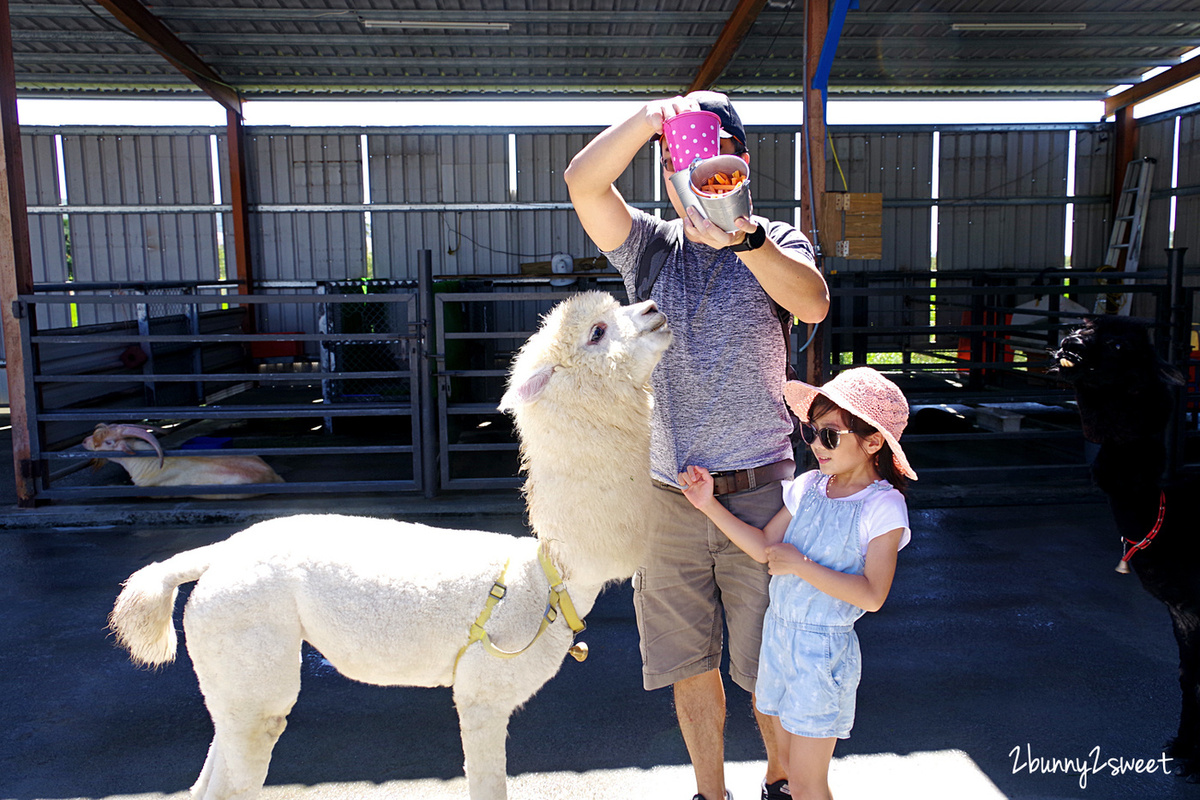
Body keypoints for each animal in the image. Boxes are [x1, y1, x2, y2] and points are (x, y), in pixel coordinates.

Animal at [108, 293, 672, 800]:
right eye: (597, 331)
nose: (654, 310)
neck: (550, 578)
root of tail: (216, 555)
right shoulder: (482, 692)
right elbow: (488, 785)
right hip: (249, 651)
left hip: (231, 679)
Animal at [1051, 316, 1200, 777]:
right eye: (1082, 328)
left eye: (1119, 345)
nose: (1069, 345)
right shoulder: (1183, 612)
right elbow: (1188, 674)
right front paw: (1184, 747)